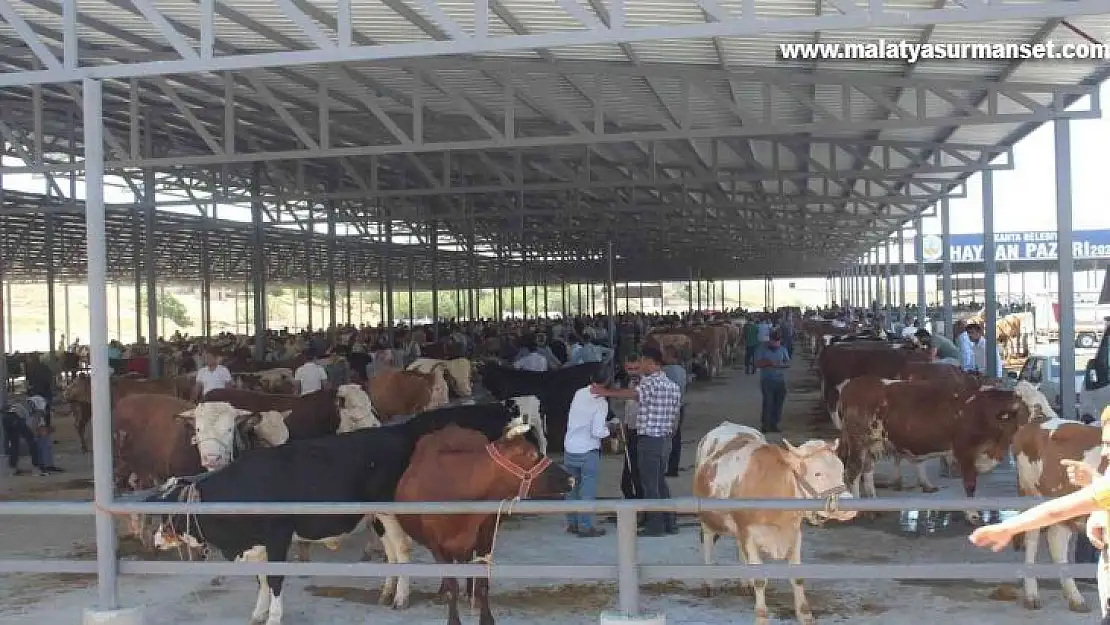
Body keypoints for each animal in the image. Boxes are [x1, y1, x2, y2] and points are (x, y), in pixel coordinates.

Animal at [395, 424, 572, 621]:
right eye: (531, 454)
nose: (570, 478)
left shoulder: (485, 536)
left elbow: (482, 583)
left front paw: (486, 617)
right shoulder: (435, 545)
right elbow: (452, 587)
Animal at [692, 419, 856, 625]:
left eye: (842, 470)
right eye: (817, 473)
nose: (849, 508)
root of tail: (727, 424)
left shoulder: (794, 533)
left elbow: (797, 577)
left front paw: (805, 614)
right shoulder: (748, 532)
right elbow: (760, 580)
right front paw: (762, 616)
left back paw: (744, 584)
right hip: (707, 516)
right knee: (707, 539)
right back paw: (709, 583)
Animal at [1012, 412, 1105, 612]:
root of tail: (1038, 419)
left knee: (1056, 540)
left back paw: (1075, 598)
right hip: (1031, 493)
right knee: (1032, 540)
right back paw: (1031, 595)